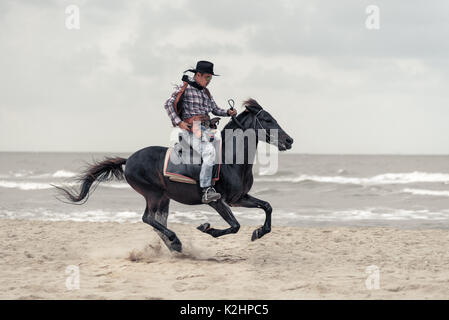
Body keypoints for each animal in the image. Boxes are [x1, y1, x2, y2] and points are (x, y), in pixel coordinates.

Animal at [53, 97, 294, 252]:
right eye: (267, 120)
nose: (289, 140)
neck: (230, 161)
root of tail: (128, 160)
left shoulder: (238, 198)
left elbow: (267, 207)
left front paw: (259, 232)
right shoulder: (216, 200)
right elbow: (234, 226)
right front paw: (207, 228)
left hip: (163, 197)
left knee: (157, 221)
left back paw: (174, 245)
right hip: (152, 194)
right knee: (148, 218)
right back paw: (175, 241)